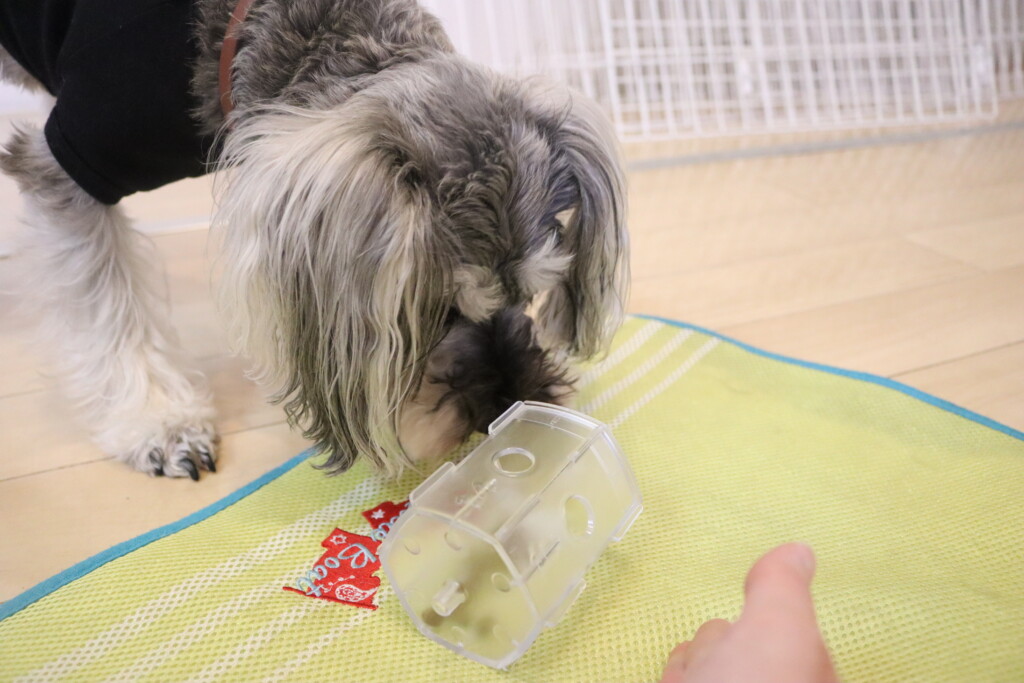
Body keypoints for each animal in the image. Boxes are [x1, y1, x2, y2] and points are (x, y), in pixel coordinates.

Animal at [0, 0, 627, 479]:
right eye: (439, 314)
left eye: (530, 296)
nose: (508, 405)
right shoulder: (70, 164)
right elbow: (106, 302)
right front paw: (162, 424)